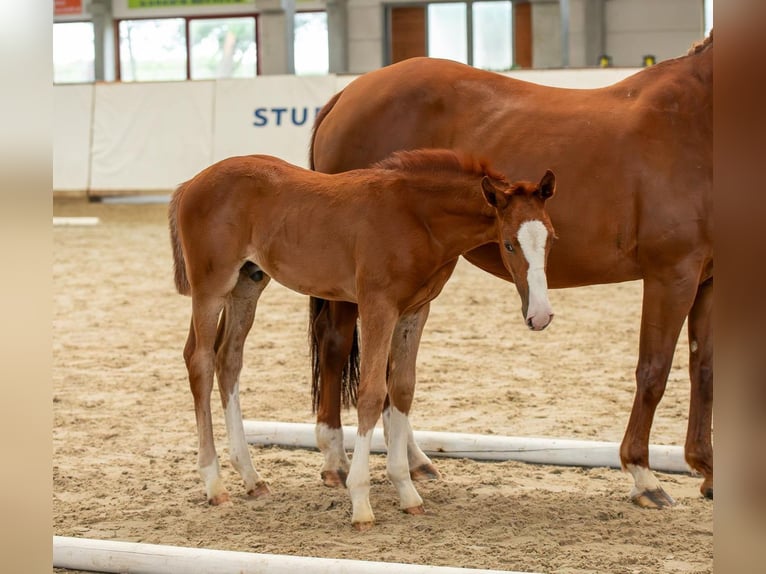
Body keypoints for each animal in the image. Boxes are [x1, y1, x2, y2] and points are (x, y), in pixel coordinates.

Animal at [170, 150, 560, 532]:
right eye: (509, 244)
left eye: (552, 239)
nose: (540, 315)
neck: (417, 217)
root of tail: (191, 184)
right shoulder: (377, 306)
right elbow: (371, 394)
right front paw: (360, 503)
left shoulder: (415, 311)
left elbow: (402, 389)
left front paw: (407, 491)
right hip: (211, 287)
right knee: (200, 361)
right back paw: (214, 484)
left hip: (247, 283)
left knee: (228, 360)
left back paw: (252, 479)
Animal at [308, 32, 716, 508]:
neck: (692, 121)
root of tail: (346, 94)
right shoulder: (672, 274)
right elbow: (653, 371)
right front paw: (643, 475)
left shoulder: (707, 279)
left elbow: (703, 371)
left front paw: (708, 470)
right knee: (335, 345)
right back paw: (336, 461)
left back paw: (412, 461)